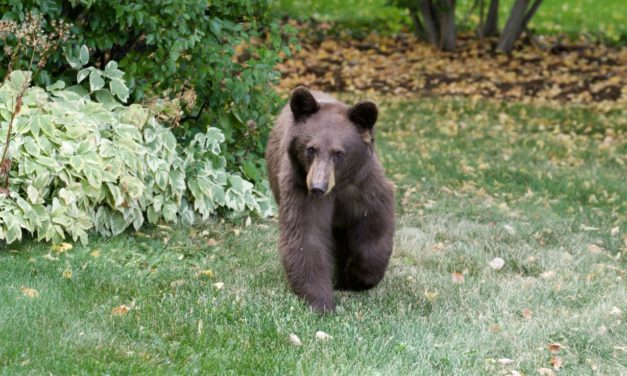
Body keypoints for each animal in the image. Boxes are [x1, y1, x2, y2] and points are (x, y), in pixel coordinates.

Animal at [266, 86, 398, 312]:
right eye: (310, 149)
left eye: (338, 153)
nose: (318, 187)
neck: (337, 186)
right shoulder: (300, 188)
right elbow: (305, 236)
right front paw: (321, 301)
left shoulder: (363, 186)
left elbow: (375, 223)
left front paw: (359, 277)